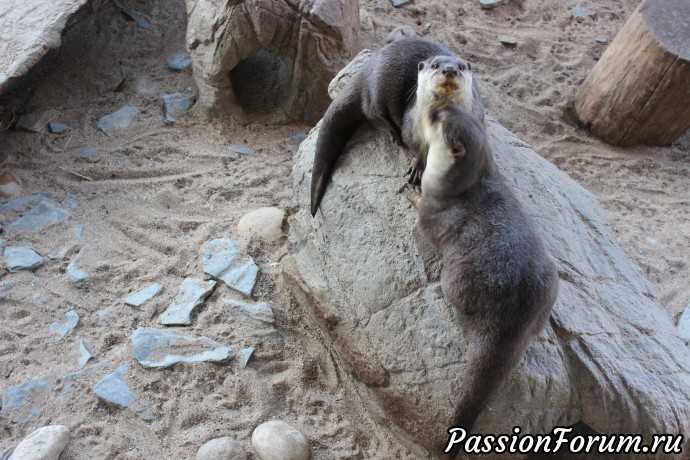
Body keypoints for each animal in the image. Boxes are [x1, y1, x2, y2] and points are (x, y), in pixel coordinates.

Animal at [310, 38, 482, 217]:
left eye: (461, 67)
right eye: (435, 65)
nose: (449, 70)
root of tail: (366, 69)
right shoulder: (412, 126)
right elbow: (416, 147)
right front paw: (418, 167)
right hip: (380, 82)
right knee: (372, 109)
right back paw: (393, 132)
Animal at [404, 103, 560, 452]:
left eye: (439, 119)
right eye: (446, 110)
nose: (434, 107)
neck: (456, 185)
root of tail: (509, 321)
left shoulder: (432, 213)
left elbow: (423, 217)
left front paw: (412, 193)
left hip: (459, 280)